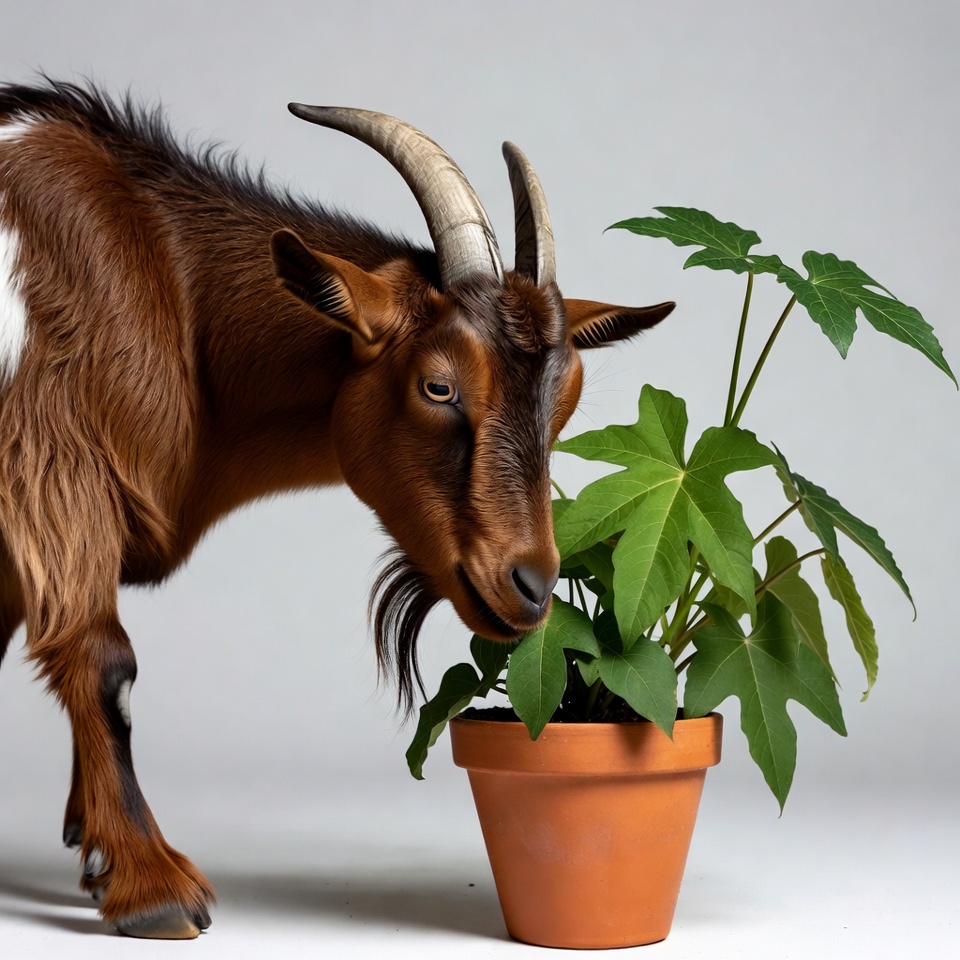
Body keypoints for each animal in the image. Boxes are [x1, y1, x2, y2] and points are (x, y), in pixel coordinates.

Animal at [0, 80, 673, 938]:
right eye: (438, 385)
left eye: (566, 404)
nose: (530, 586)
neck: (152, 265)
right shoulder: (52, 466)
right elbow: (102, 657)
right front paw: (150, 884)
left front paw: (95, 852)